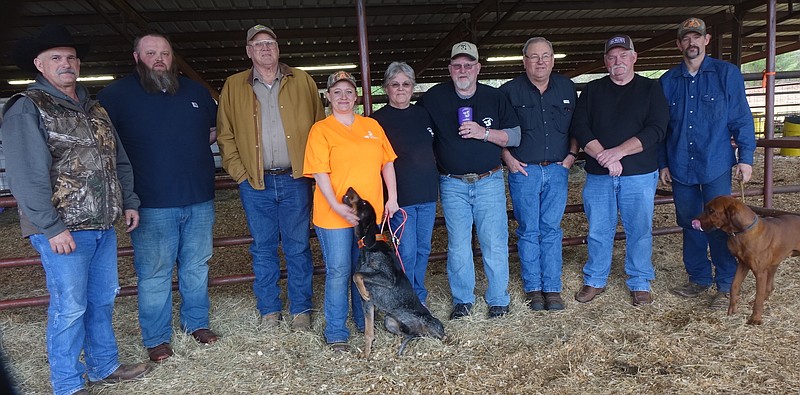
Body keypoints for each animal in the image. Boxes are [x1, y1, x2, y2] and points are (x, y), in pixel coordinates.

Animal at [342, 188, 446, 358]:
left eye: (363, 203)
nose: (350, 188)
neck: (368, 249)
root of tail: (418, 332)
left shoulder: (388, 278)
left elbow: (357, 275)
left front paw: (362, 289)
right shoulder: (368, 305)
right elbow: (369, 332)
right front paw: (366, 354)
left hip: (430, 322)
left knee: (442, 335)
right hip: (389, 321)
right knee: (409, 335)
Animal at [692, 196, 800, 326]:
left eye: (711, 210)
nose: (694, 220)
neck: (743, 232)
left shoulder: (760, 273)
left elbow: (758, 297)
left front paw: (755, 318)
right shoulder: (743, 265)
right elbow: (734, 285)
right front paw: (732, 307)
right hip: (774, 263)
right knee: (769, 287)